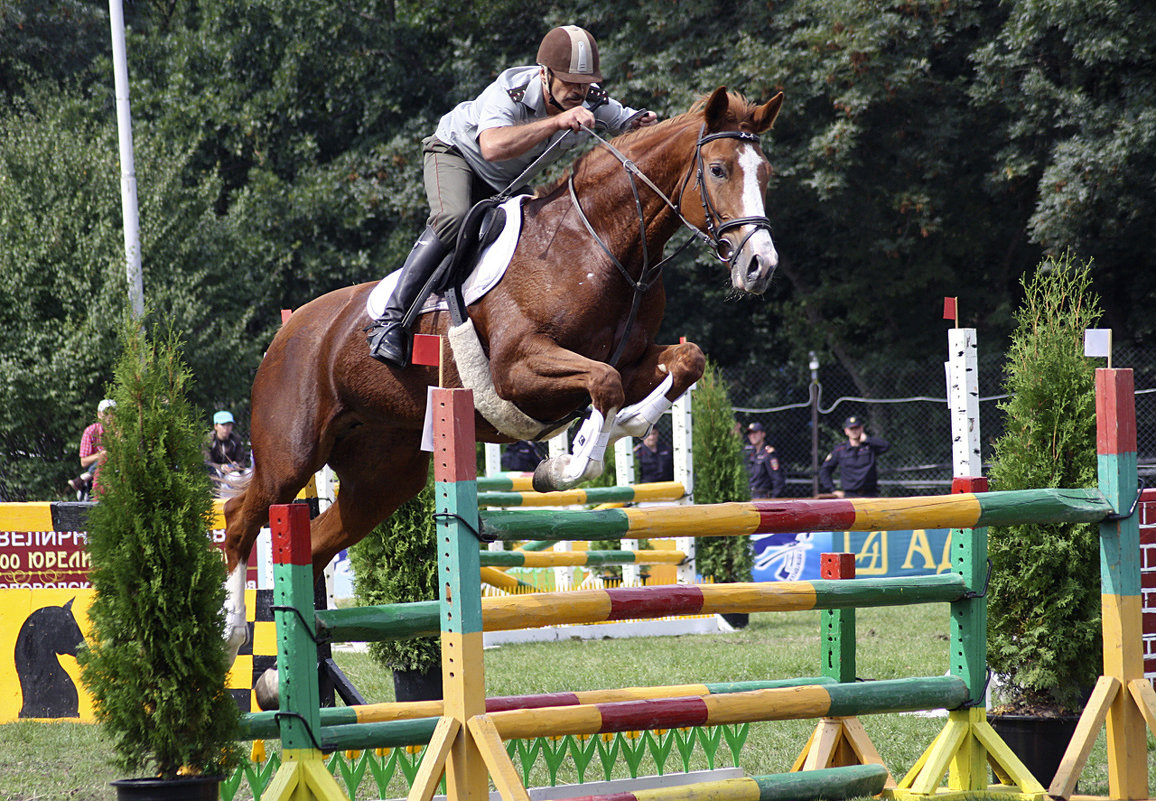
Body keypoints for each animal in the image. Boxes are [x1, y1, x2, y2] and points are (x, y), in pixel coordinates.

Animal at [223, 89, 786, 661]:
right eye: (717, 169)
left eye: (766, 173)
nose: (760, 267)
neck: (599, 243)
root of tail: (288, 332)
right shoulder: (518, 368)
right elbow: (603, 383)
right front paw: (567, 463)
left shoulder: (635, 358)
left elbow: (680, 363)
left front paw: (615, 428)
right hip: (291, 455)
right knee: (239, 519)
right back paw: (233, 632)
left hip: (379, 478)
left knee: (314, 543)